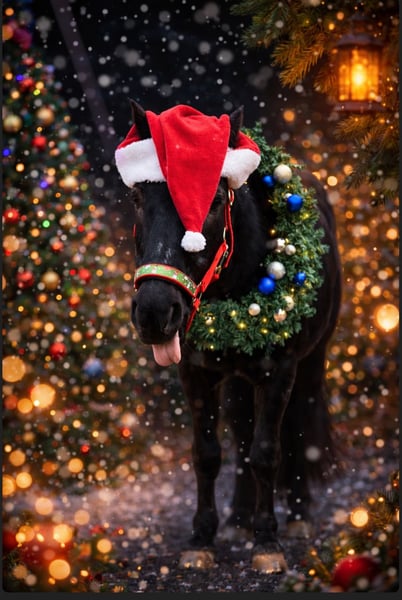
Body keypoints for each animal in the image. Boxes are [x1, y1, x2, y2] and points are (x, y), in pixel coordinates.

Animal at [116, 100, 342, 573]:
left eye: (216, 200)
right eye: (137, 197)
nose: (155, 313)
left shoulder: (279, 373)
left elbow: (267, 451)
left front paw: (268, 543)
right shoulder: (195, 375)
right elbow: (208, 453)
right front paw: (202, 539)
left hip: (312, 364)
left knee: (297, 429)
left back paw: (297, 516)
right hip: (237, 379)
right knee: (240, 433)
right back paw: (238, 520)